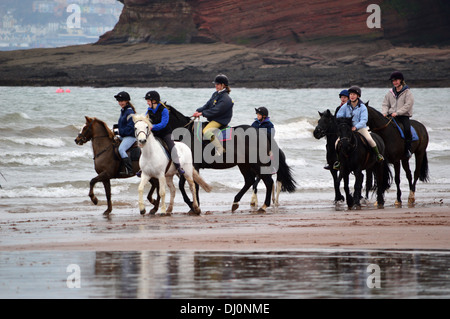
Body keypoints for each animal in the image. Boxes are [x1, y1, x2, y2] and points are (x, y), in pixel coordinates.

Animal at [161, 106, 296, 214]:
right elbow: (188, 185)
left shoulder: (192, 166)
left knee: (268, 182)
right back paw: (236, 203)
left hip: (258, 164)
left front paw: (194, 206)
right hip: (244, 164)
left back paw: (263, 206)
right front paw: (193, 206)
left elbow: (187, 185)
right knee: (250, 181)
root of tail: (262, 134)